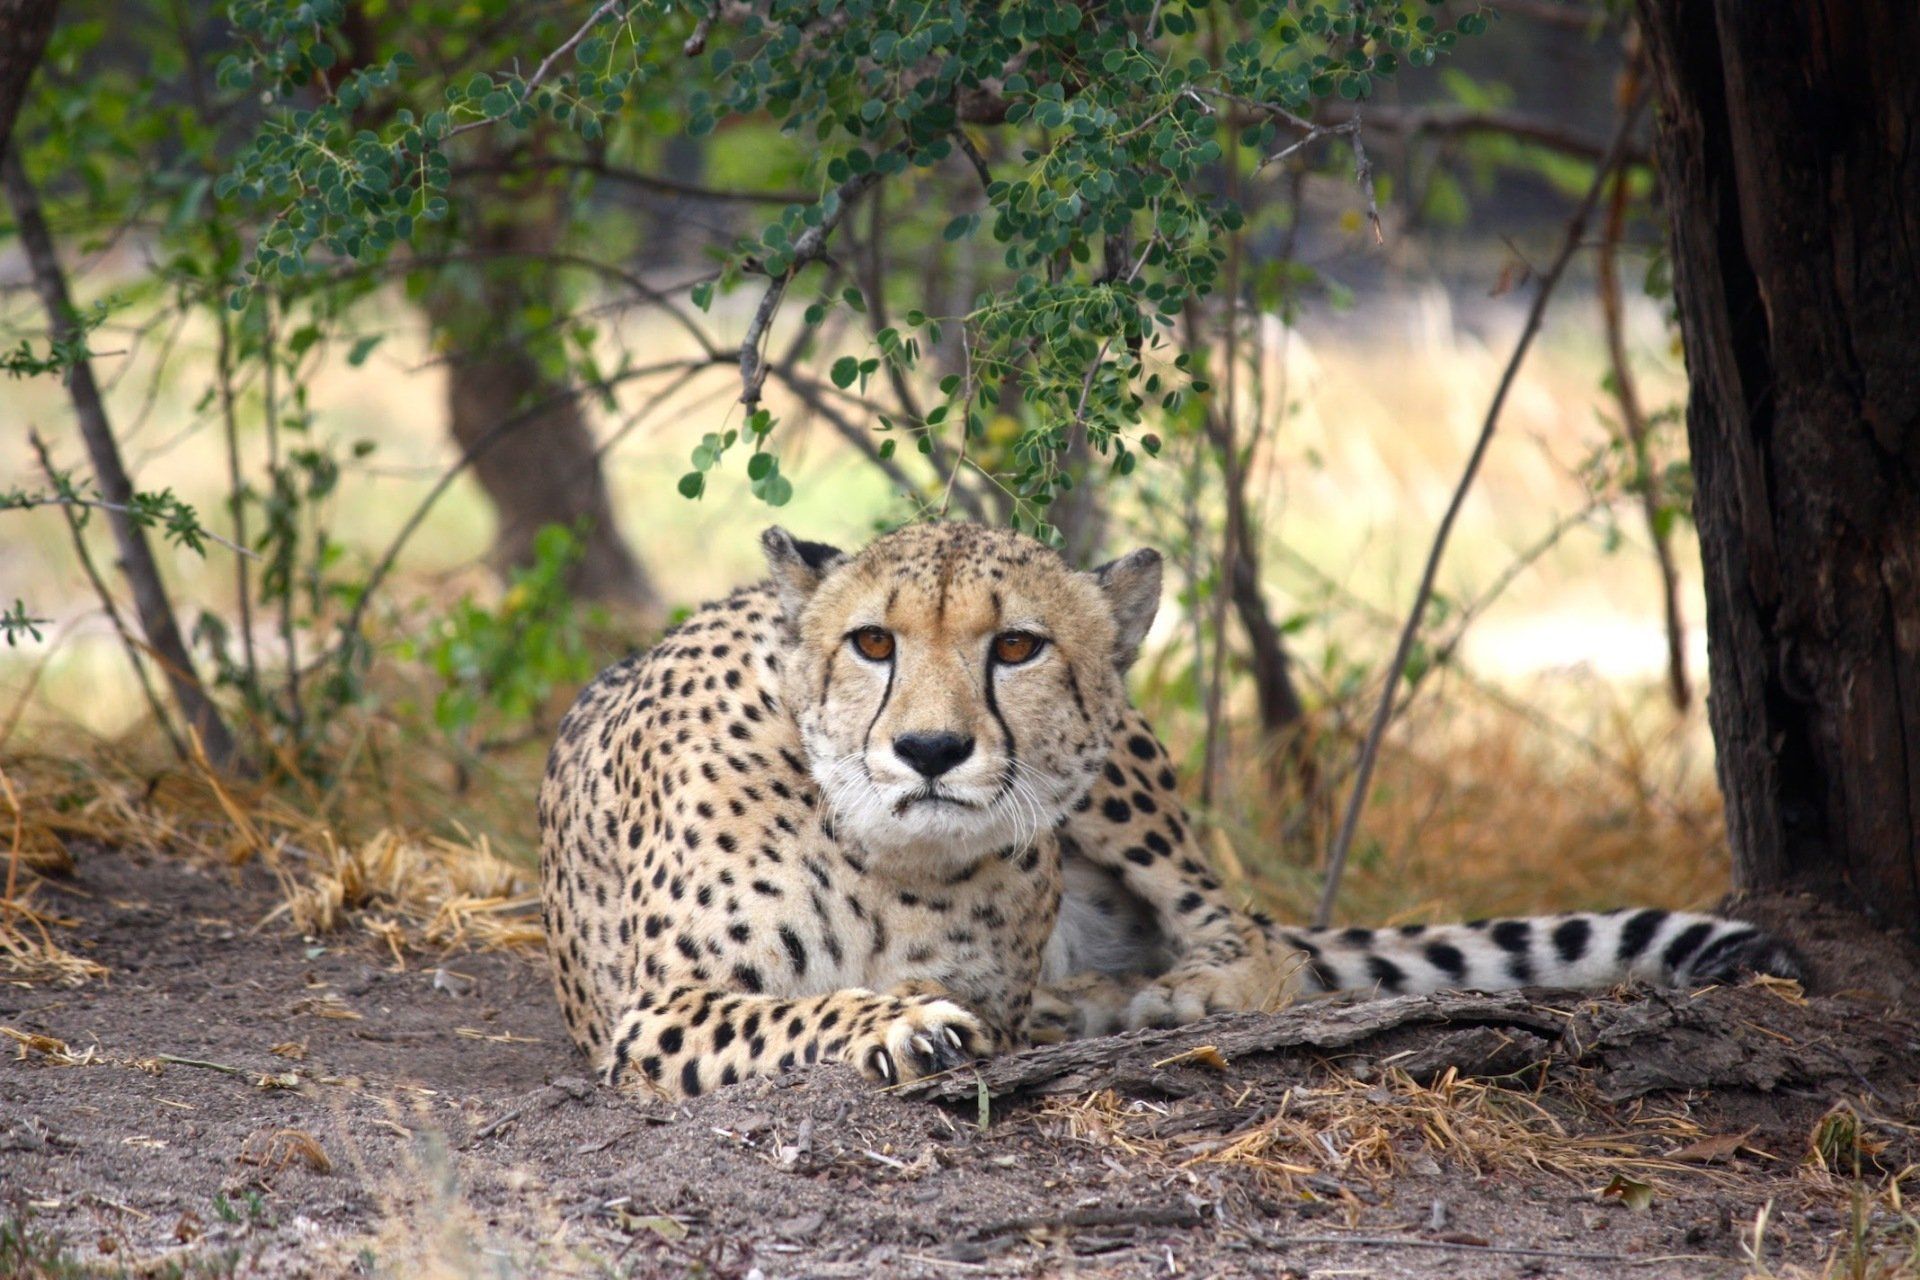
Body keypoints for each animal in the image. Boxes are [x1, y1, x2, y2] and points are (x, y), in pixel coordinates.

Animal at [539, 521, 1802, 1098]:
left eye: (1015, 647)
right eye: (872, 642)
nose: (932, 748)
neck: (888, 852)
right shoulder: (650, 1013)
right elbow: (803, 1006)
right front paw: (902, 1021)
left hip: (1124, 782)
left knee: (1259, 942)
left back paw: (1171, 992)